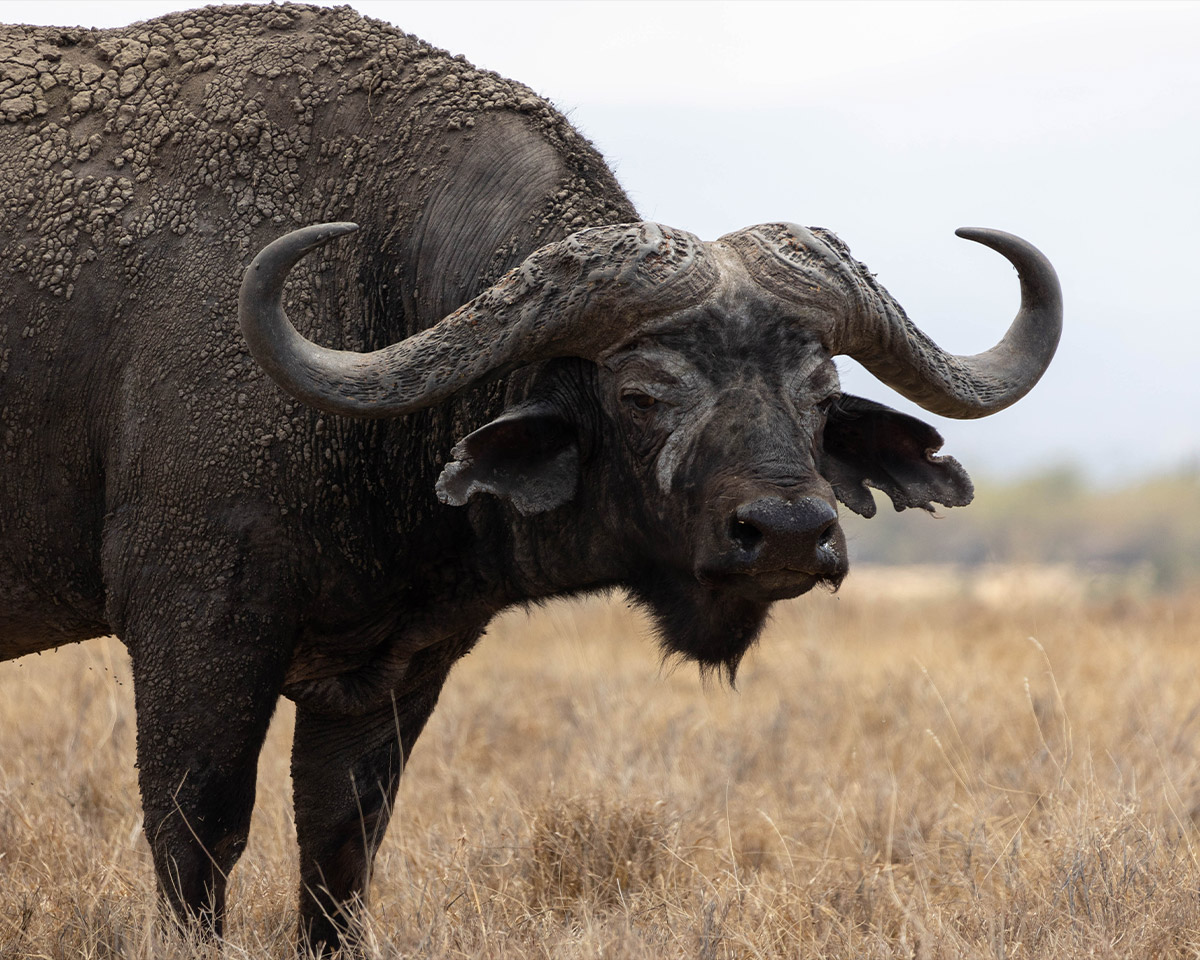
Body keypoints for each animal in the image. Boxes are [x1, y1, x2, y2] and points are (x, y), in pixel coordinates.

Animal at [0, 1, 1060, 950]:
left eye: (821, 389)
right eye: (641, 393)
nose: (791, 532)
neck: (371, 294)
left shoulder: (394, 670)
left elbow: (340, 851)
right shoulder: (198, 629)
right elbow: (198, 838)